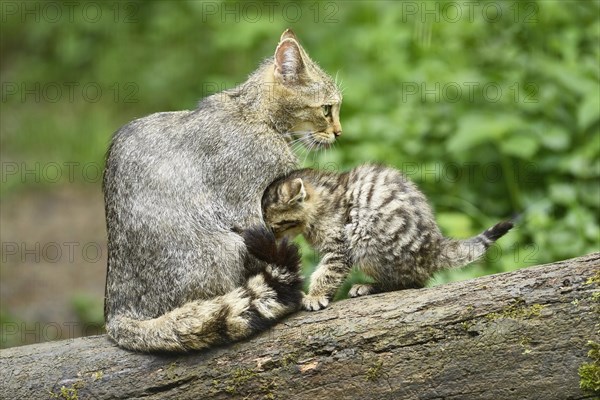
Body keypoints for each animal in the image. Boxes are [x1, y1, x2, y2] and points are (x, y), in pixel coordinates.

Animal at [103, 29, 342, 352]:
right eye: (327, 109)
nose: (339, 132)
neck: (254, 115)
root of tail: (115, 311)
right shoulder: (247, 210)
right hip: (225, 247)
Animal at [260, 164, 512, 310]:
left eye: (274, 226)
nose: (270, 238)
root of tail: (434, 247)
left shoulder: (340, 244)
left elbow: (328, 272)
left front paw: (316, 295)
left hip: (366, 240)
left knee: (412, 282)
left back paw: (370, 287)